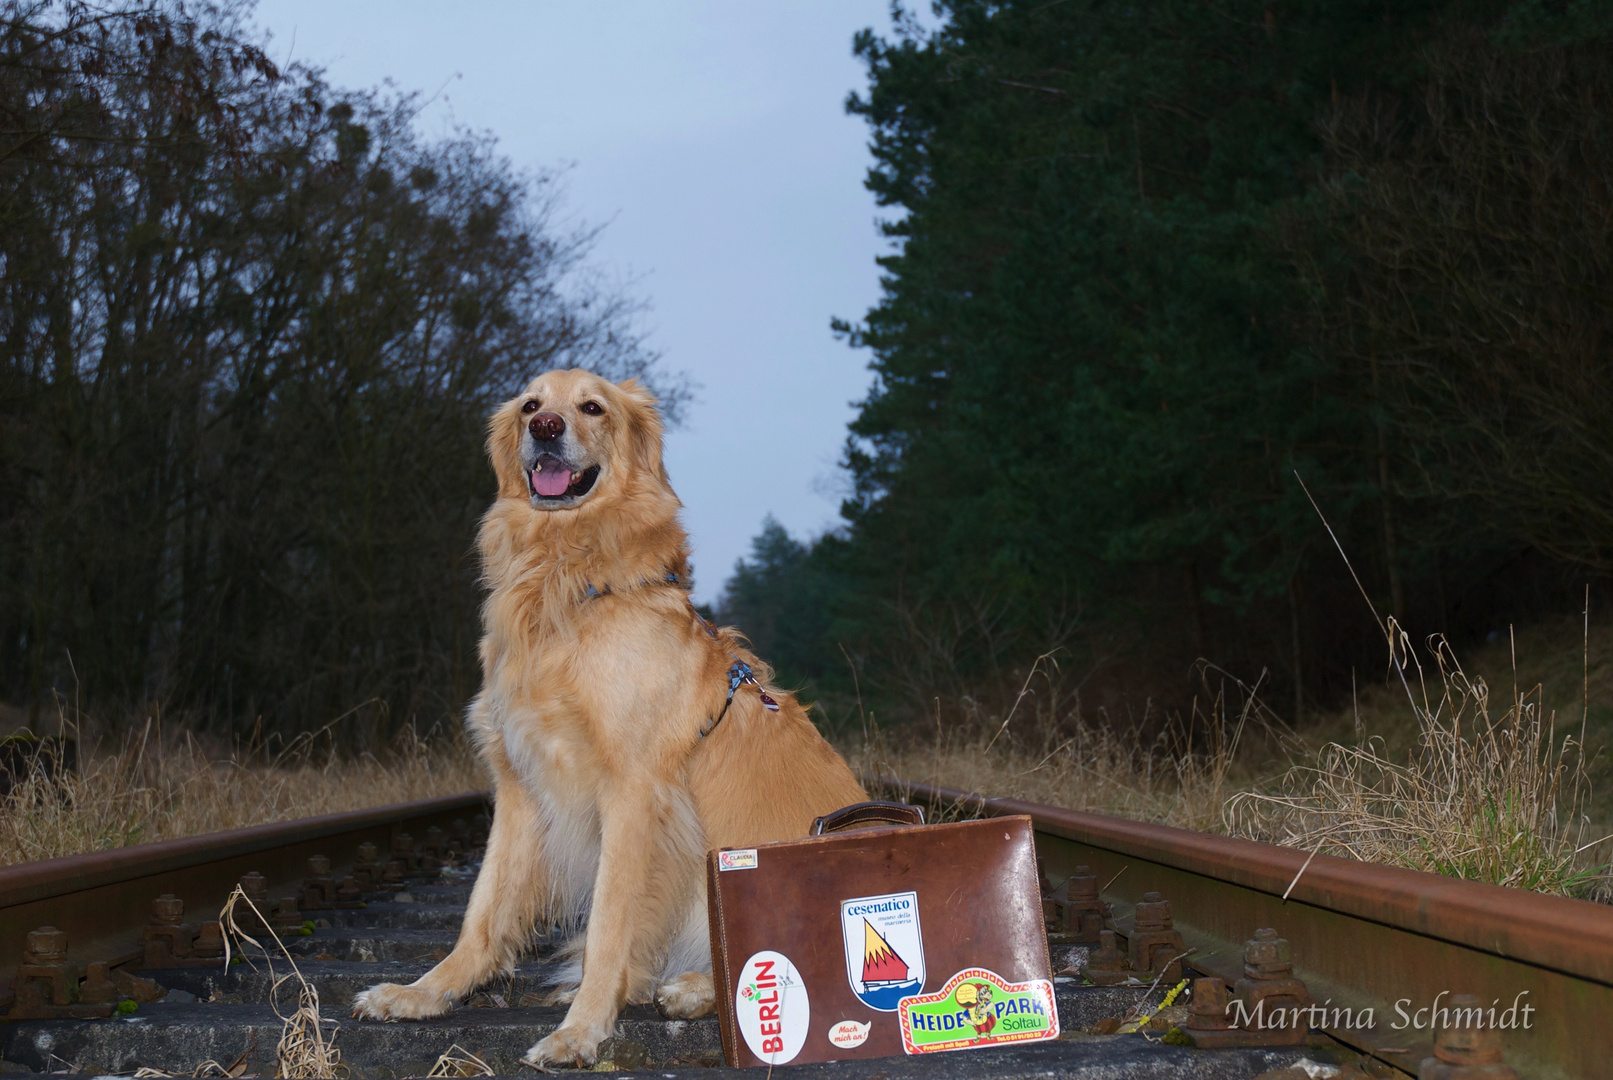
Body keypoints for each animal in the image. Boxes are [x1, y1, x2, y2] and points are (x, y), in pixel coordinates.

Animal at [354, 370, 871, 1063]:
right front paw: (423, 993)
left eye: (592, 407)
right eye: (531, 405)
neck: (565, 585)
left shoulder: (632, 793)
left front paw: (581, 1029)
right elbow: (482, 911)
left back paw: (695, 987)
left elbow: (608, 924)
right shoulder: (520, 784)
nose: (545, 428)